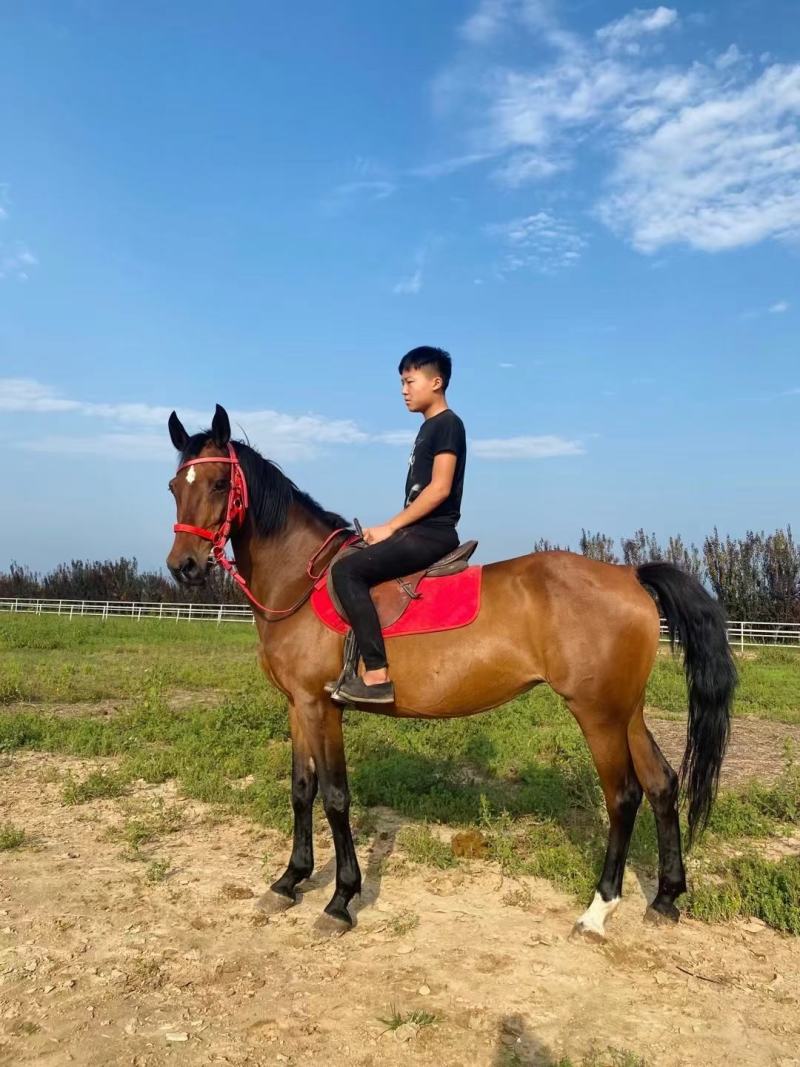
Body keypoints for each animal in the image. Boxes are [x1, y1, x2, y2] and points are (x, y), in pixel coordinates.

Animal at [166, 404, 737, 940]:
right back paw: (665, 897)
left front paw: (340, 900)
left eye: (219, 483)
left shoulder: (320, 705)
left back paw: (598, 910)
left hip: (597, 713)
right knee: (662, 784)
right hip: (626, 710)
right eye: (174, 486)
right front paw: (289, 881)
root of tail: (629, 575)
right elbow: (301, 789)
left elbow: (335, 797)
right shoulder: (296, 705)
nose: (184, 566)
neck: (301, 582)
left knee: (623, 796)